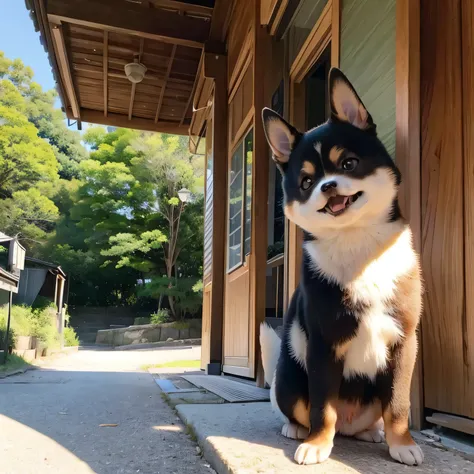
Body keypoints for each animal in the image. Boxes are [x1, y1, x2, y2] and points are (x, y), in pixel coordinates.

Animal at [262, 67, 424, 466]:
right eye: (306, 182)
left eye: (348, 163)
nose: (328, 185)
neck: (358, 242)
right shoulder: (323, 344)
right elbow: (322, 406)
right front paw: (317, 443)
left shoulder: (404, 342)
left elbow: (398, 404)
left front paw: (402, 444)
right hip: (289, 376)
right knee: (300, 407)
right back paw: (296, 429)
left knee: (375, 413)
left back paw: (370, 432)